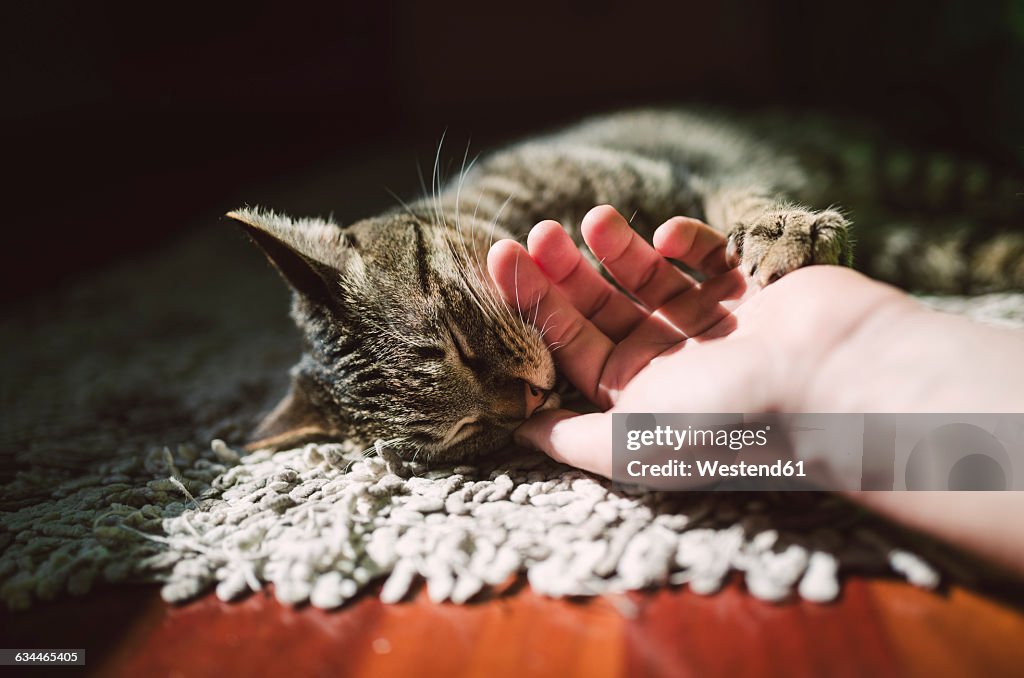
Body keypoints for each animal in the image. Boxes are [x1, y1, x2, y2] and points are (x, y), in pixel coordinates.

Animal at [228, 110, 1019, 462]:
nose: (526, 401)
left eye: (453, 335)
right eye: (463, 433)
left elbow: (741, 202)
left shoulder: (684, 182)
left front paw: (781, 232)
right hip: (920, 245)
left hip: (910, 172)